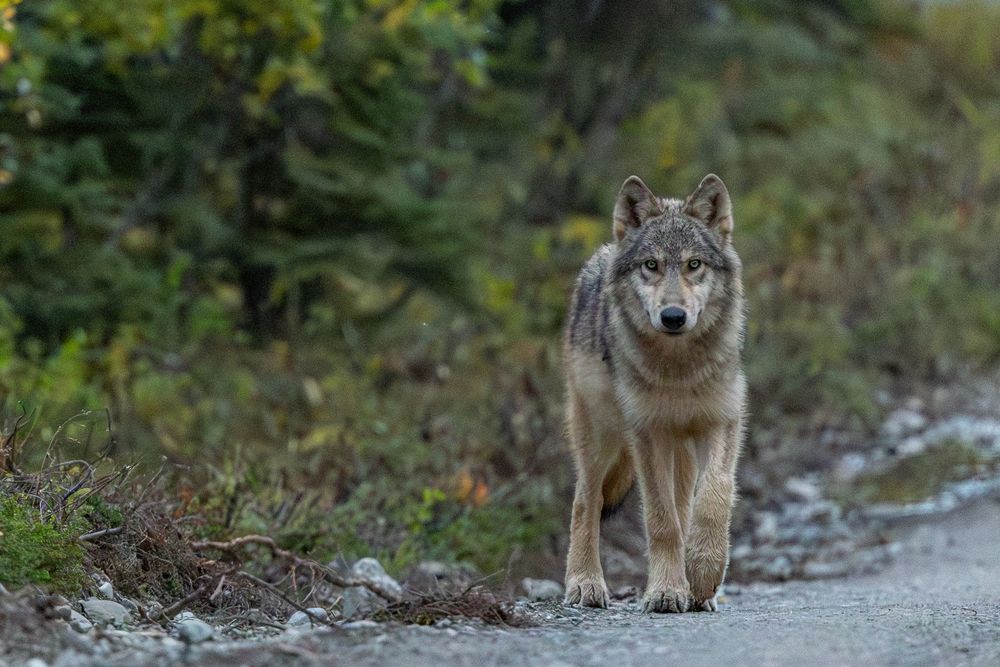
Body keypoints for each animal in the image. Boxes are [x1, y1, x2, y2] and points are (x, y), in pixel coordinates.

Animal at [562, 173, 746, 613]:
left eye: (694, 264)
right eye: (652, 265)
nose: (673, 316)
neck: (678, 372)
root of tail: (602, 252)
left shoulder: (722, 421)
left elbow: (713, 498)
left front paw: (703, 573)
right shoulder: (647, 434)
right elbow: (662, 522)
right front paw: (665, 591)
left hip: (681, 451)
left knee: (685, 505)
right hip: (602, 437)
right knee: (585, 503)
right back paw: (585, 583)